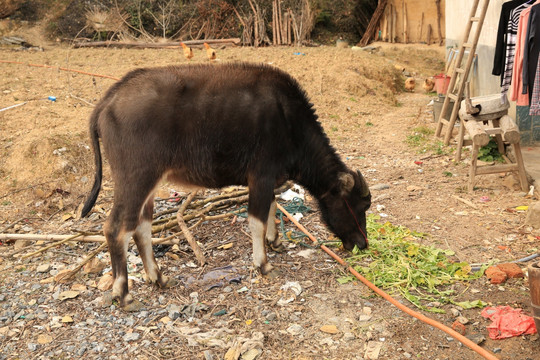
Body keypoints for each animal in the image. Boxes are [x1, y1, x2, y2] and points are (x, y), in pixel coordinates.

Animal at [82, 62, 372, 310]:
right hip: (136, 179)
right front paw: (263, 263)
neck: (289, 122)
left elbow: (271, 207)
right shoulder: (260, 176)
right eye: (358, 206)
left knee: (141, 227)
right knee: (117, 228)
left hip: (149, 184)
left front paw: (275, 241)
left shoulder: (269, 179)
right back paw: (123, 294)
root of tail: (110, 98)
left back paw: (158, 278)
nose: (363, 243)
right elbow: (256, 219)